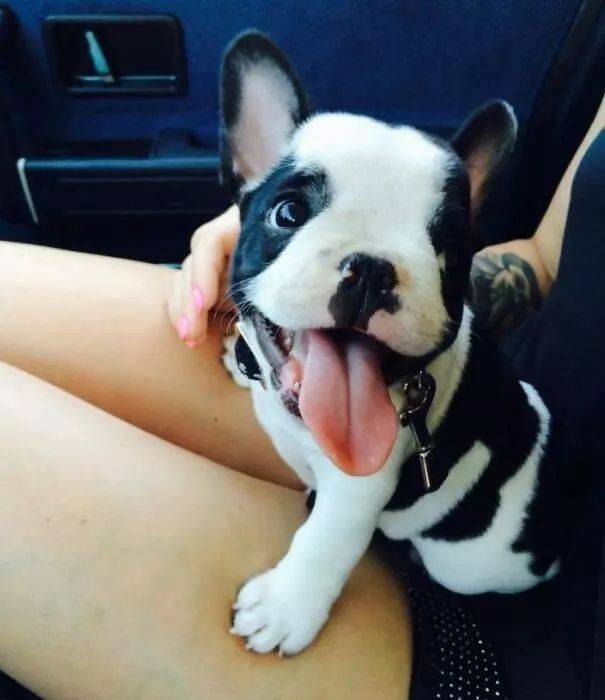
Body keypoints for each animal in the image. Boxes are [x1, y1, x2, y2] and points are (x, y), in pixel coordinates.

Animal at [219, 31, 562, 656]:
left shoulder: (361, 485)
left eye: (450, 250)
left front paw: (286, 606)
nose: (373, 269)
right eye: (289, 212)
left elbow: (326, 540)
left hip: (469, 563)